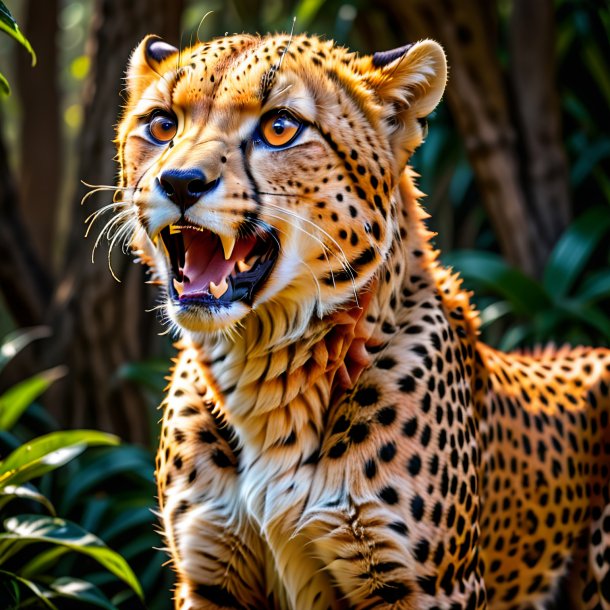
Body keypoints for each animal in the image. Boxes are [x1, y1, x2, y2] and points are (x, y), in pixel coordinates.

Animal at [113, 34, 608, 608]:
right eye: (161, 124)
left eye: (279, 127)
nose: (180, 183)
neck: (265, 374)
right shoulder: (209, 577)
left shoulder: (430, 587)